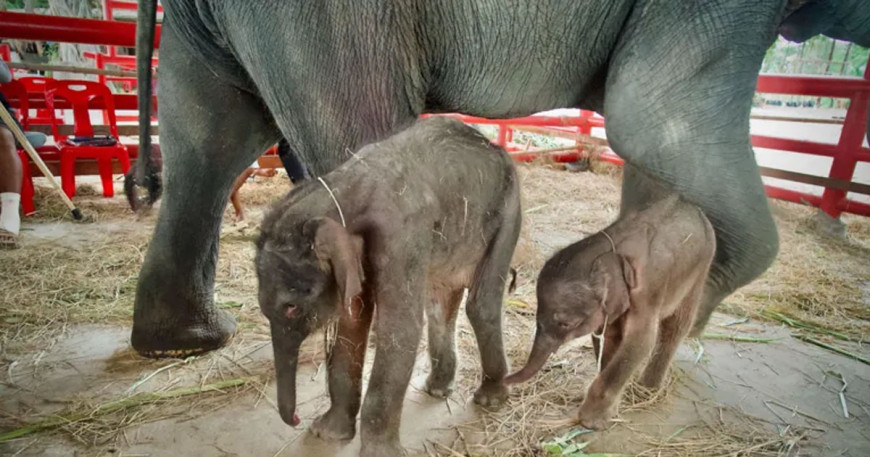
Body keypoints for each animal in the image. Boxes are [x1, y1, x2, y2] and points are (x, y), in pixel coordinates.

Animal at [127, 0, 870, 358]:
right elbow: (656, 121)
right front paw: (668, 337)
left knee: (207, 140)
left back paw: (190, 341)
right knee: (352, 132)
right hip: (329, 20)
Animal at [255, 115, 520, 456]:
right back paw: (437, 389)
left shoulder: (402, 235)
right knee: (439, 303)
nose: (298, 419)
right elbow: (352, 324)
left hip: (509, 210)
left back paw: (490, 399)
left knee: (481, 303)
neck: (339, 190)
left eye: (292, 307)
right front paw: (326, 434)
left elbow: (400, 329)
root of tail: (494, 145)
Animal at [504, 194, 716, 430]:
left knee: (676, 326)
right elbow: (608, 337)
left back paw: (648, 390)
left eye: (566, 324)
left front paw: (591, 422)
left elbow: (640, 342)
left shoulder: (647, 293)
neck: (613, 250)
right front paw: (609, 410)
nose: (501, 380)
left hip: (701, 269)